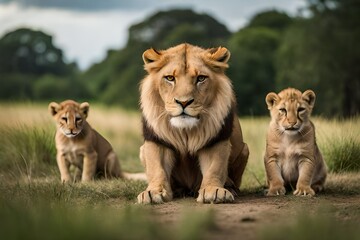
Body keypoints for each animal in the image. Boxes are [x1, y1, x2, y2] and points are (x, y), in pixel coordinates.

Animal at [136, 42, 249, 202]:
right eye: (170, 78)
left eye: (201, 78)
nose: (183, 102)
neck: (185, 131)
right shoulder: (157, 140)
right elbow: (157, 167)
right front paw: (154, 192)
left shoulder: (215, 139)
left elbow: (215, 167)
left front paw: (213, 191)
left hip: (245, 149)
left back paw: (230, 187)